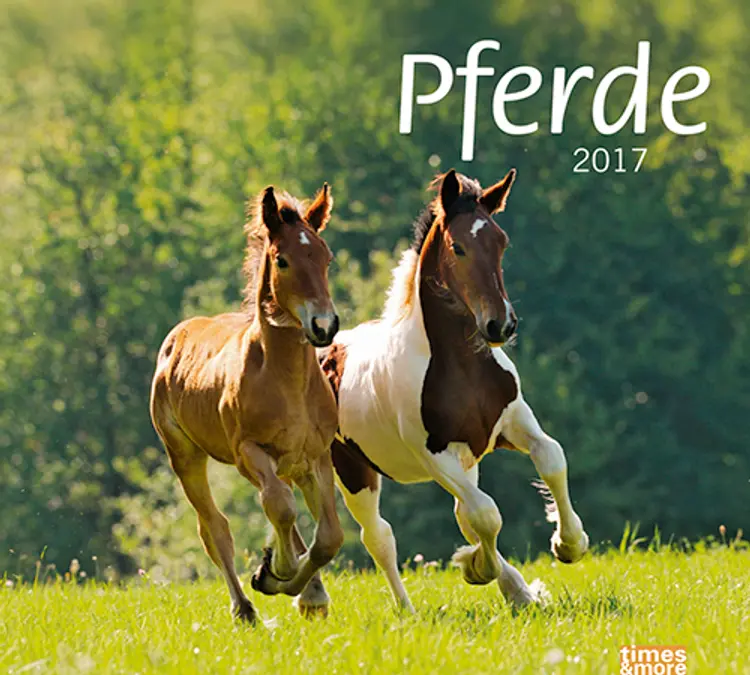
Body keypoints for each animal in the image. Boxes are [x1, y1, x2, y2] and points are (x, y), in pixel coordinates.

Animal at [150, 183, 344, 623]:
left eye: (326, 256)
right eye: (282, 260)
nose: (324, 326)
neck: (286, 379)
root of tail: (177, 335)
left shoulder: (317, 456)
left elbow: (328, 536)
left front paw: (289, 582)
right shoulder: (248, 452)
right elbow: (280, 507)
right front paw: (276, 571)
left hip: (290, 464)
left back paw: (309, 592)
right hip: (185, 456)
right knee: (214, 527)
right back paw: (245, 608)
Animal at [319, 169, 589, 612]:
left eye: (501, 242)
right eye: (457, 247)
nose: (501, 325)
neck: (461, 367)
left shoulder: (510, 423)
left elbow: (551, 459)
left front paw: (568, 544)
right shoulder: (434, 455)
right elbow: (486, 514)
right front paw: (476, 567)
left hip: (464, 461)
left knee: (460, 511)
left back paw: (519, 591)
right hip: (352, 470)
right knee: (378, 535)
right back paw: (408, 611)